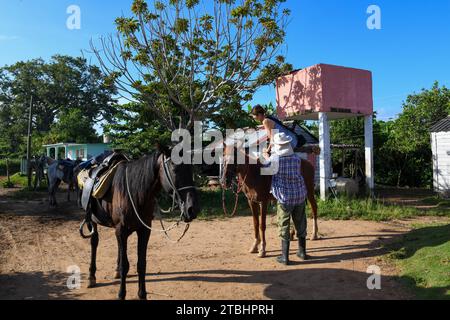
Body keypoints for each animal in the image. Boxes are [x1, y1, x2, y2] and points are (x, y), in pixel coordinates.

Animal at [84, 148, 200, 300]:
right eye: (174, 168)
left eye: (191, 168)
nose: (192, 209)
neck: (135, 194)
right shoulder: (121, 230)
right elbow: (125, 266)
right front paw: (121, 294)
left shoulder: (144, 231)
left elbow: (141, 264)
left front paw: (142, 294)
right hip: (92, 222)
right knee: (94, 242)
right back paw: (91, 277)